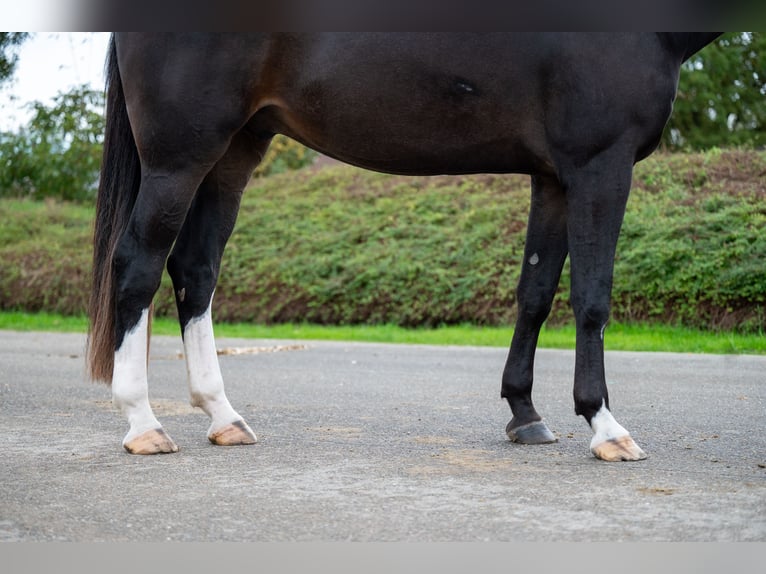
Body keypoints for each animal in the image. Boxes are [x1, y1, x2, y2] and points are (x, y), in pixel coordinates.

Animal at [87, 35, 724, 460]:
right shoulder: (600, 165)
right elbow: (592, 297)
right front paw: (606, 426)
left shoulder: (552, 176)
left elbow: (536, 291)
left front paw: (524, 413)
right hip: (179, 157)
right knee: (138, 264)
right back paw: (144, 424)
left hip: (236, 149)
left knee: (195, 270)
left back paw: (223, 416)